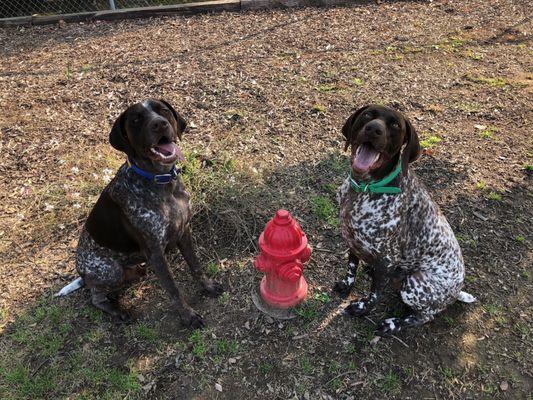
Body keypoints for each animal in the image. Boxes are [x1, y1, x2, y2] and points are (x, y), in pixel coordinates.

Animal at [332, 104, 474, 336]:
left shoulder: (387, 257)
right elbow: (351, 267)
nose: (373, 130)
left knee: (424, 316)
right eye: (368, 114)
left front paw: (362, 308)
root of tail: (456, 292)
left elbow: (375, 294)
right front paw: (346, 285)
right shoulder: (353, 239)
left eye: (395, 125)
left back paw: (392, 324)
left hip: (415, 284)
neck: (365, 188)